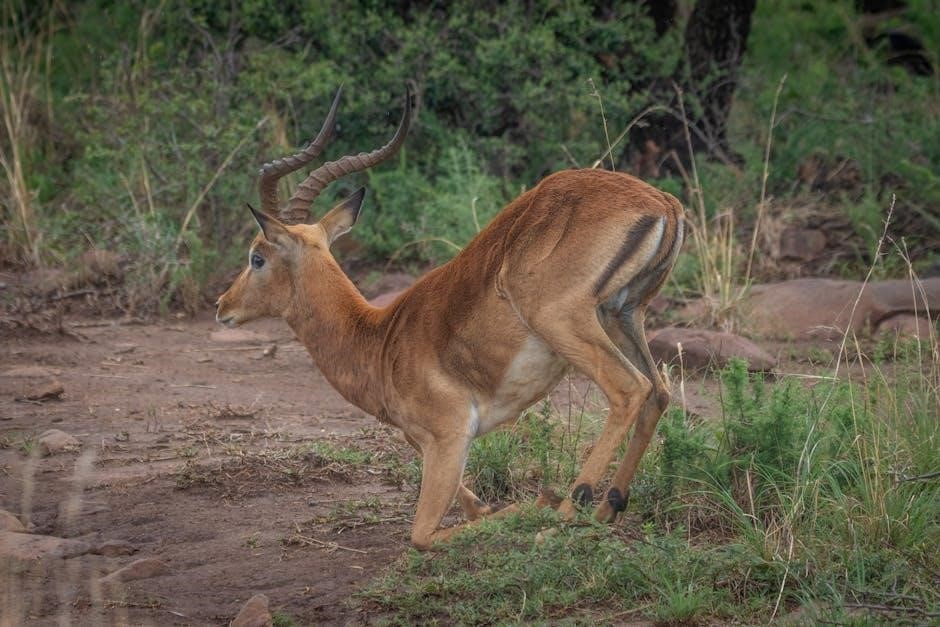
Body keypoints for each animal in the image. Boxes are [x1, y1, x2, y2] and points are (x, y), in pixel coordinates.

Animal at [215, 86, 684, 550]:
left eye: (257, 257)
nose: (222, 306)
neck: (379, 340)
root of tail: (664, 204)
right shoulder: (432, 445)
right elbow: (474, 508)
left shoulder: (449, 436)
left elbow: (423, 535)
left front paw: (534, 504)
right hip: (622, 315)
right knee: (658, 393)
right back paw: (607, 507)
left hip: (563, 321)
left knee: (630, 389)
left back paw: (564, 516)